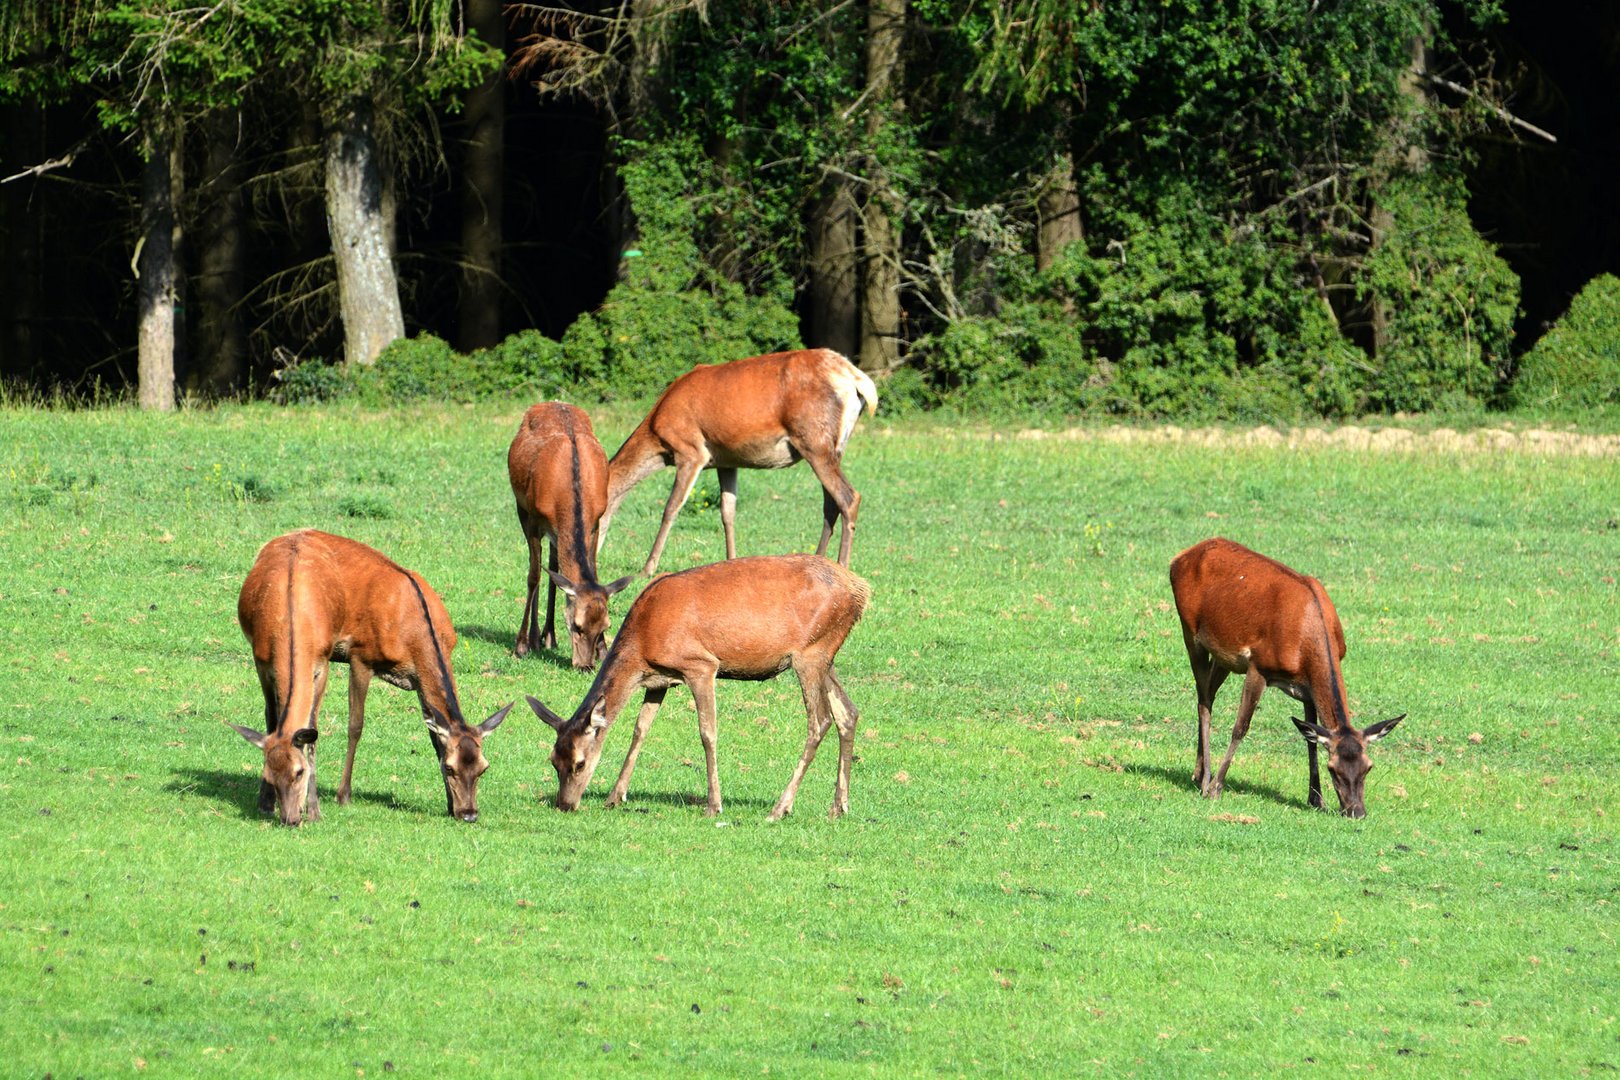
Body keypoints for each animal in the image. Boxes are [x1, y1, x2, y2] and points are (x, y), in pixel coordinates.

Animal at [231, 531, 511, 829]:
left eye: (483, 767)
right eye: (450, 768)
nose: (469, 813)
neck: (411, 632)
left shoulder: (418, 680)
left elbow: (435, 736)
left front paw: (448, 805)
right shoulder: (361, 656)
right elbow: (355, 726)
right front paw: (343, 795)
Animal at [505, 401, 631, 667]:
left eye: (606, 625)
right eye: (577, 625)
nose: (585, 666)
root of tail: (553, 402)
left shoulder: (596, 521)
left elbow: (586, 572)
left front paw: (603, 651)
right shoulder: (533, 518)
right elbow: (534, 576)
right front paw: (520, 645)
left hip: (555, 533)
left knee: (554, 565)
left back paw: (549, 636)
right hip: (522, 507)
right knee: (538, 568)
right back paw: (534, 638)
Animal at [524, 557, 868, 819]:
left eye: (579, 763)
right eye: (553, 760)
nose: (565, 804)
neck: (643, 644)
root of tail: (860, 590)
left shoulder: (700, 665)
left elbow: (707, 733)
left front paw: (714, 805)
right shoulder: (659, 680)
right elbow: (640, 730)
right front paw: (615, 796)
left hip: (811, 652)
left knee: (820, 720)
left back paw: (779, 808)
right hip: (825, 655)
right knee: (848, 712)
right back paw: (839, 806)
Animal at [599, 351, 874, 579]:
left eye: (596, 517)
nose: (596, 556)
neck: (657, 437)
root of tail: (857, 379)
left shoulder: (691, 451)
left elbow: (671, 508)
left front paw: (647, 569)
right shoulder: (726, 460)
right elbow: (727, 511)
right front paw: (731, 559)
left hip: (814, 440)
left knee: (849, 497)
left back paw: (842, 566)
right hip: (833, 447)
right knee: (831, 503)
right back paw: (818, 558)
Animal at [1166, 540, 1406, 819]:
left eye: (1368, 766)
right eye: (1333, 768)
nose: (1356, 811)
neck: (1306, 643)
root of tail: (1179, 557)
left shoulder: (1307, 688)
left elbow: (1310, 739)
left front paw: (1316, 799)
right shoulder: (1258, 666)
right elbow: (1240, 727)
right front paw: (1216, 788)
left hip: (1223, 657)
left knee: (1208, 695)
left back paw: (1198, 772)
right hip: (1190, 631)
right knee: (1203, 699)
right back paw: (1205, 780)